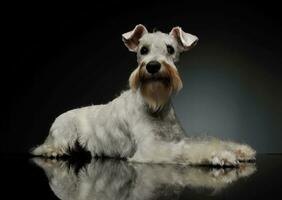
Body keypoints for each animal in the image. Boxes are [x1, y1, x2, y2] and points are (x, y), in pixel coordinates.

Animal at [32, 24, 256, 166]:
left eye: (170, 49)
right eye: (143, 49)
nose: (153, 66)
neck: (157, 107)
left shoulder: (178, 137)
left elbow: (201, 141)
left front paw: (239, 150)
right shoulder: (152, 148)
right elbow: (185, 150)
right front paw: (220, 155)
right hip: (65, 132)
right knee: (44, 148)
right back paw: (53, 151)